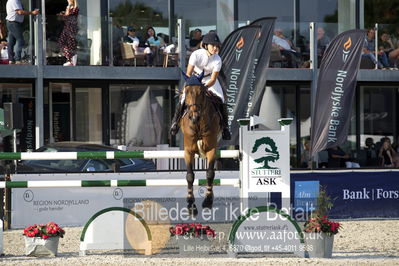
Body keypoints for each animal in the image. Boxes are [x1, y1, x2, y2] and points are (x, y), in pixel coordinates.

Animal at [180, 72, 223, 216]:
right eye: (186, 91)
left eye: (201, 92)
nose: (194, 117)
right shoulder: (188, 151)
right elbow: (190, 176)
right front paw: (191, 205)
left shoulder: (211, 149)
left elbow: (210, 173)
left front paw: (208, 201)